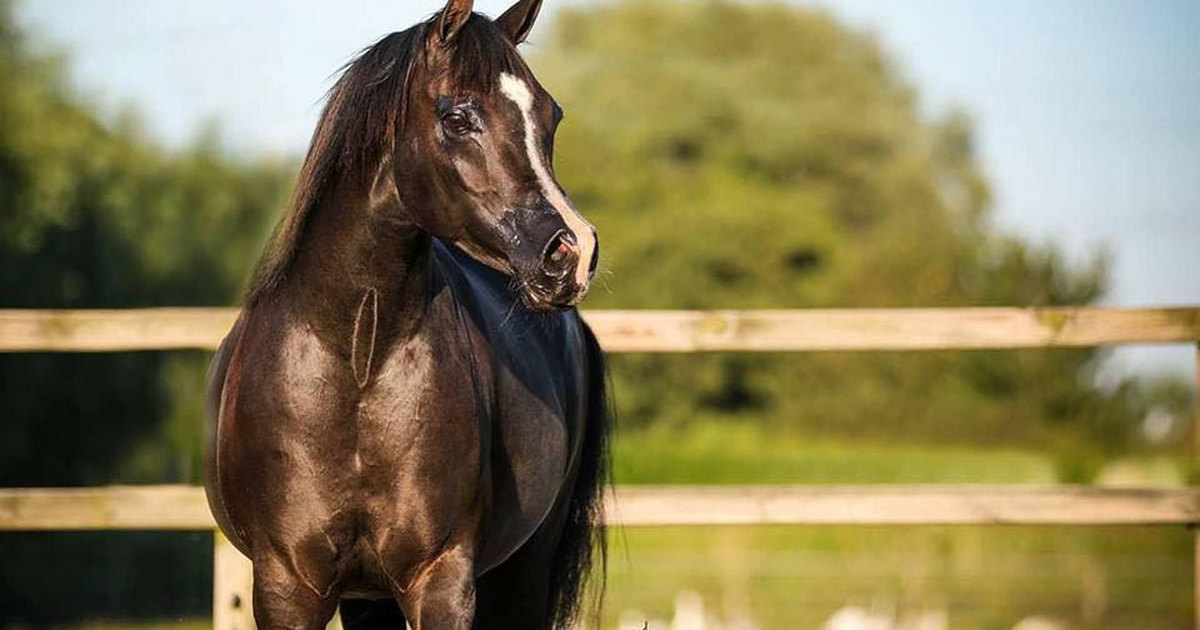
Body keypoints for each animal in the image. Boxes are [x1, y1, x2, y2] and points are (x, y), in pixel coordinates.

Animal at [204, 2, 609, 624]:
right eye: (457, 117)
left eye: (551, 115)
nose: (573, 252)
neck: (357, 357)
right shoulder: (289, 585)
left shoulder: (438, 579)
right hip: (367, 599)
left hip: (521, 574)